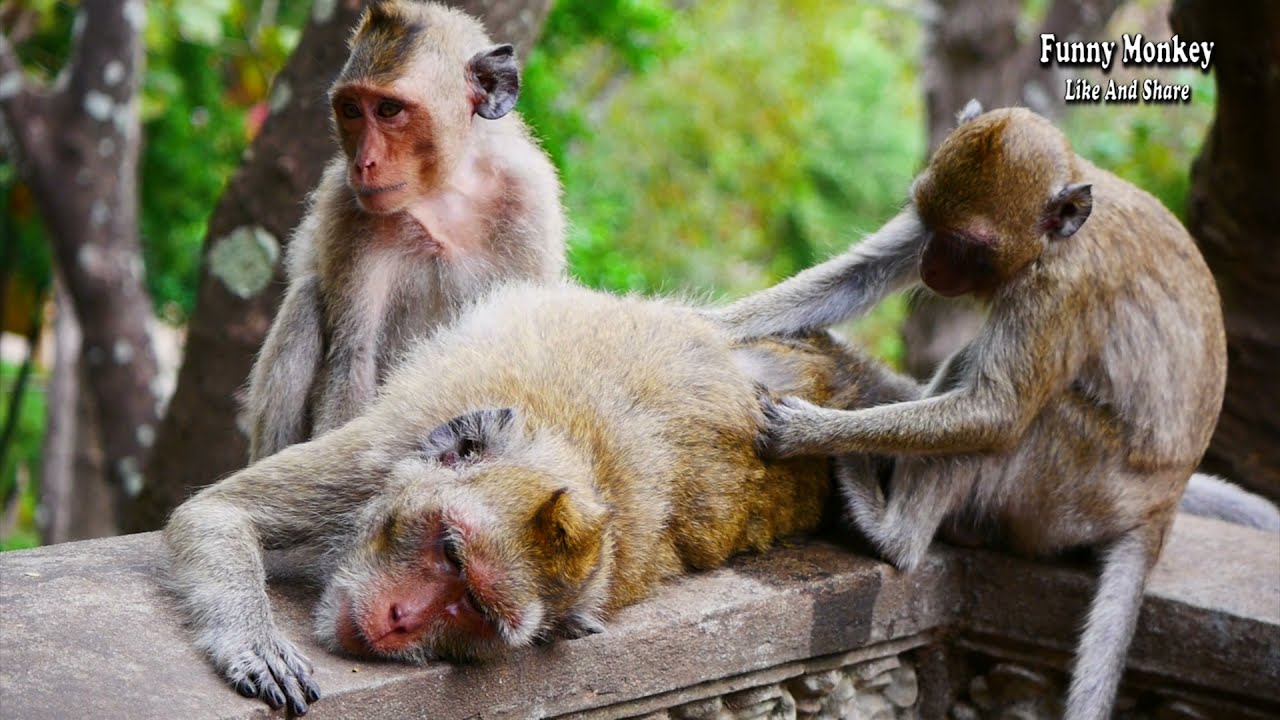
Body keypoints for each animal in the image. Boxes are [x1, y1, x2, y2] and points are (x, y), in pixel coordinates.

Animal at [165, 281, 918, 714]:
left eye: (472, 606)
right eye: (450, 551)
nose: (402, 620)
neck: (573, 460)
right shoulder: (382, 450)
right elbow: (213, 512)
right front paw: (256, 644)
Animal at [243, 1, 565, 462]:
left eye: (389, 110)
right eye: (351, 110)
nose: (364, 163)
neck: (444, 193)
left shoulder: (530, 202)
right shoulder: (347, 208)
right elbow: (353, 360)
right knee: (305, 299)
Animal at [711, 103, 1265, 720]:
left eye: (969, 245)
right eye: (928, 221)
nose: (929, 263)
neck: (1053, 243)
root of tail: (1161, 513)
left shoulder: (1058, 291)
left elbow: (996, 415)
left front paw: (812, 431)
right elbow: (860, 275)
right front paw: (704, 325)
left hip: (1080, 490)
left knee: (1015, 422)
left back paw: (892, 534)